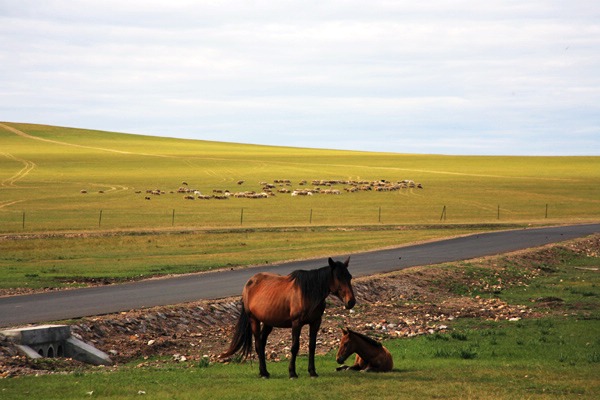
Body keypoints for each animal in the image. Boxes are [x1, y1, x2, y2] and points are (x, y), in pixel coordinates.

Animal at [219, 258, 354, 376]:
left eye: (349, 277)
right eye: (338, 277)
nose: (351, 302)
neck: (307, 293)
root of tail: (249, 283)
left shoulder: (316, 322)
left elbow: (312, 346)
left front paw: (312, 372)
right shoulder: (296, 323)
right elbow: (294, 347)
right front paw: (292, 372)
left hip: (268, 323)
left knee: (261, 344)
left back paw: (265, 371)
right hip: (254, 320)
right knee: (258, 344)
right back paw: (263, 373)